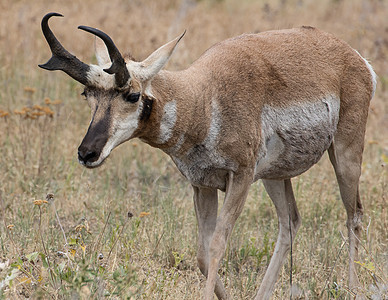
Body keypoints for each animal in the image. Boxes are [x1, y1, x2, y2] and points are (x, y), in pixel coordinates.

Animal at [40, 12, 376, 300]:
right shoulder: (202, 185)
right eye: (87, 94)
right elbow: (202, 255)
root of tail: (354, 56)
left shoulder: (240, 178)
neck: (203, 97)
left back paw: (352, 288)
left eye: (132, 95)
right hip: (275, 176)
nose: (87, 153)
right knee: (290, 222)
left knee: (354, 215)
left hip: (345, 153)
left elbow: (216, 245)